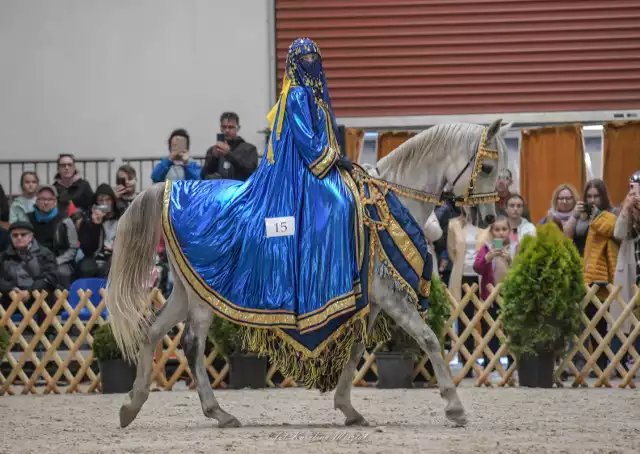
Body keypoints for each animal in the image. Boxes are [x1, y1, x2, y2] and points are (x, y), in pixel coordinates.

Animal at [107, 118, 512, 430]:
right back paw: (218, 413)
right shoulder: (391, 297)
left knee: (153, 332)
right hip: (202, 298)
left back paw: (132, 405)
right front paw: (454, 406)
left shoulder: (373, 301)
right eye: (487, 168)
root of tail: (170, 187)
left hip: (185, 291)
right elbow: (428, 339)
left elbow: (357, 349)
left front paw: (348, 408)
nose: (490, 218)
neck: (384, 203)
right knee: (191, 344)